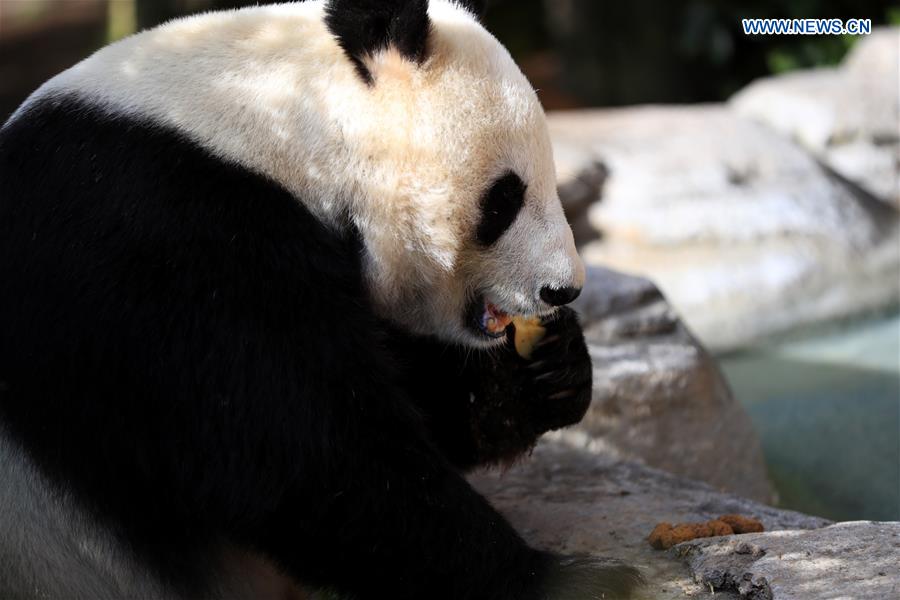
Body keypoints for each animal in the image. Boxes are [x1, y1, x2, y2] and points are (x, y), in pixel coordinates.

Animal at [0, 1, 640, 600]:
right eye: (505, 197)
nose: (563, 287)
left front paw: (550, 371)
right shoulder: (160, 237)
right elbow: (304, 456)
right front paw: (553, 578)